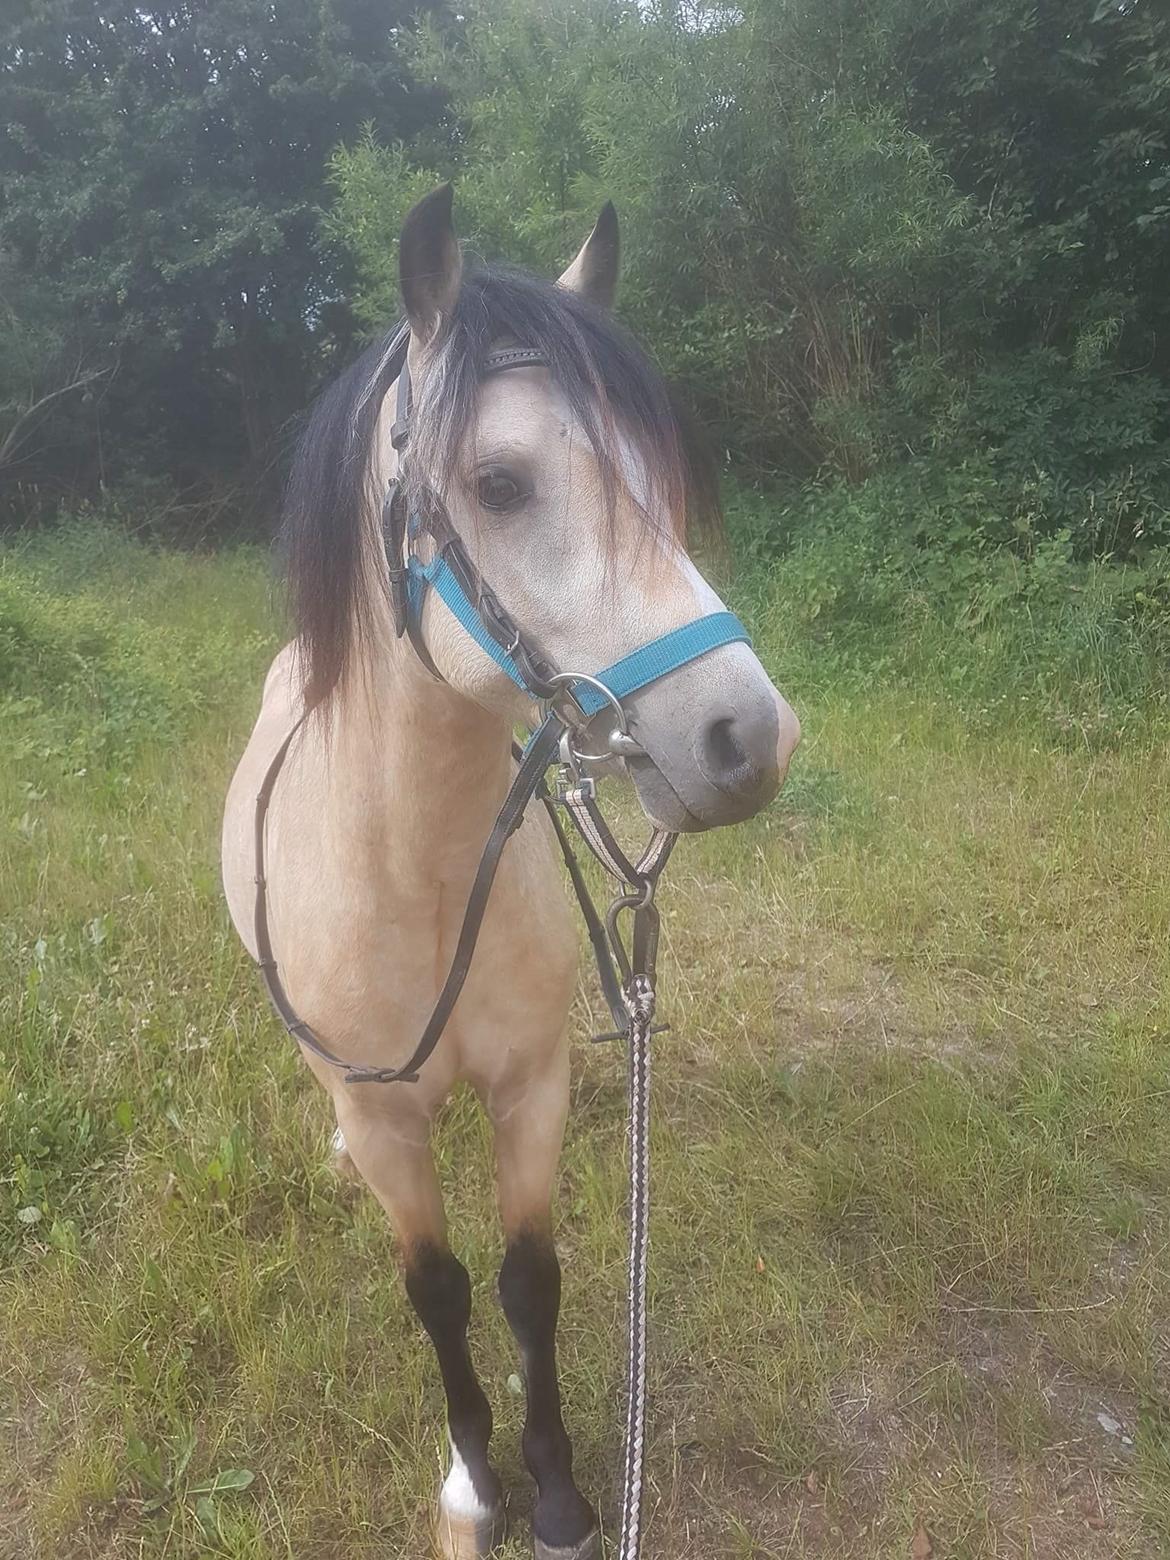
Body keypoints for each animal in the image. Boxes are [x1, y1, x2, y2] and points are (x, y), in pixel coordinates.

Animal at [221, 184, 800, 1560]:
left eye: (656, 476)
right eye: (499, 483)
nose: (748, 740)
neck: (415, 880)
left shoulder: (531, 1088)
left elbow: (530, 1283)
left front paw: (559, 1496)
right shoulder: (390, 1125)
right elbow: (437, 1291)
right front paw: (473, 1484)